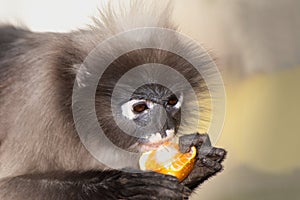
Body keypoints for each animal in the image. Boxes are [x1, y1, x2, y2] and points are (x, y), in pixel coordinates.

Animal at [0, 1, 225, 200]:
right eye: (140, 107)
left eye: (170, 103)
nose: (164, 129)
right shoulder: (38, 105)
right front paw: (122, 184)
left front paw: (198, 164)